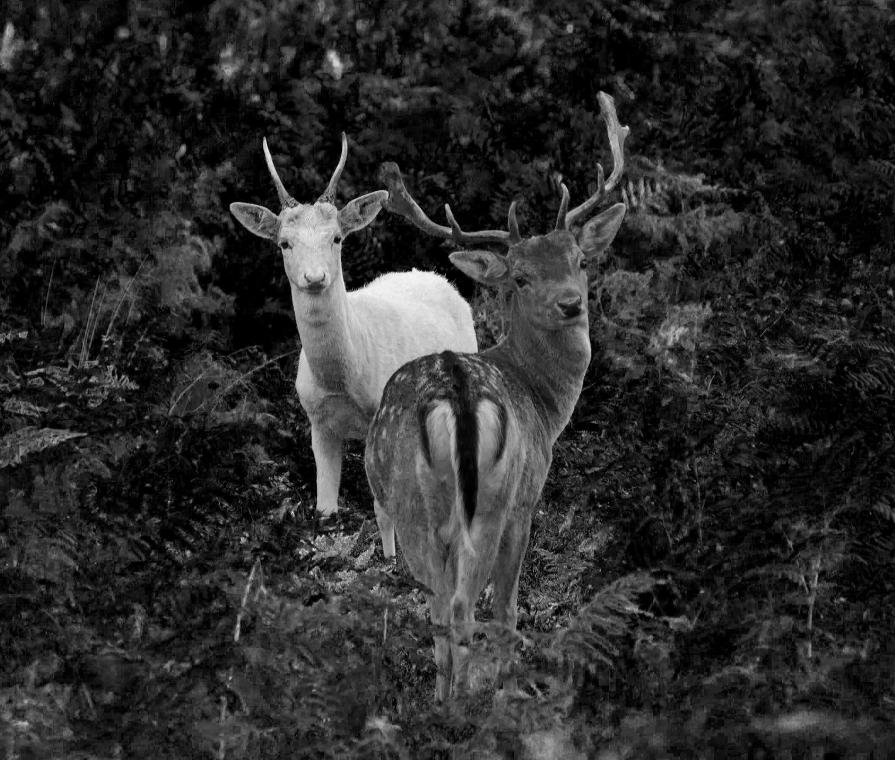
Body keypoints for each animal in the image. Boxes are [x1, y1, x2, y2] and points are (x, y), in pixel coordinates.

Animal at [229, 135, 477, 558]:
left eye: (337, 237)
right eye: (284, 243)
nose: (315, 277)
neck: (343, 380)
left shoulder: (382, 419)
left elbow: (383, 509)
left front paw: (392, 565)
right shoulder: (317, 421)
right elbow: (325, 508)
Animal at [365, 92, 629, 700]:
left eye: (579, 260)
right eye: (521, 279)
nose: (571, 303)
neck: (544, 403)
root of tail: (458, 397)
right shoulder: (527, 500)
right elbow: (507, 608)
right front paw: (508, 685)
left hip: (420, 509)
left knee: (440, 607)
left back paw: (443, 700)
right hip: (490, 501)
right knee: (465, 605)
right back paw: (467, 701)